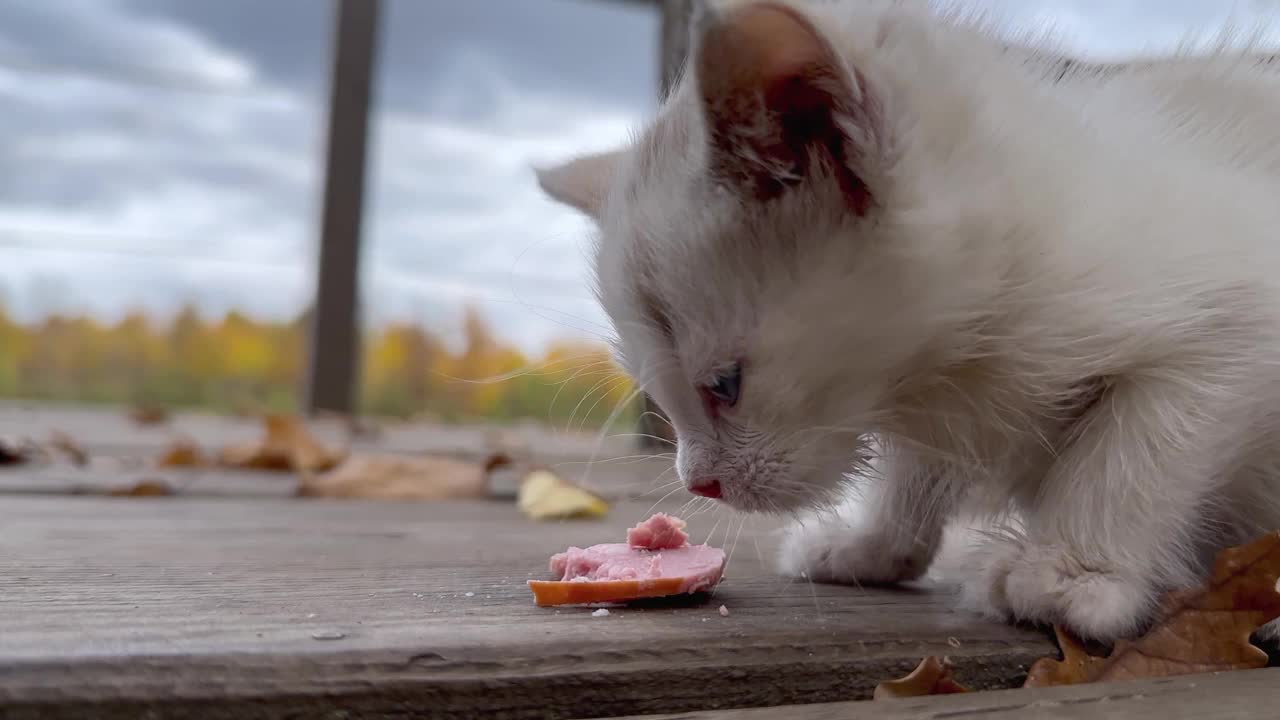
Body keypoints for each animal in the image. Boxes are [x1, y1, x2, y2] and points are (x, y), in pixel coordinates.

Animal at [535, 0, 1280, 638]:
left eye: (724, 385)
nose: (702, 484)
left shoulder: (1236, 318)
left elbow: (1134, 451)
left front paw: (1070, 575)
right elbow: (915, 468)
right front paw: (872, 546)